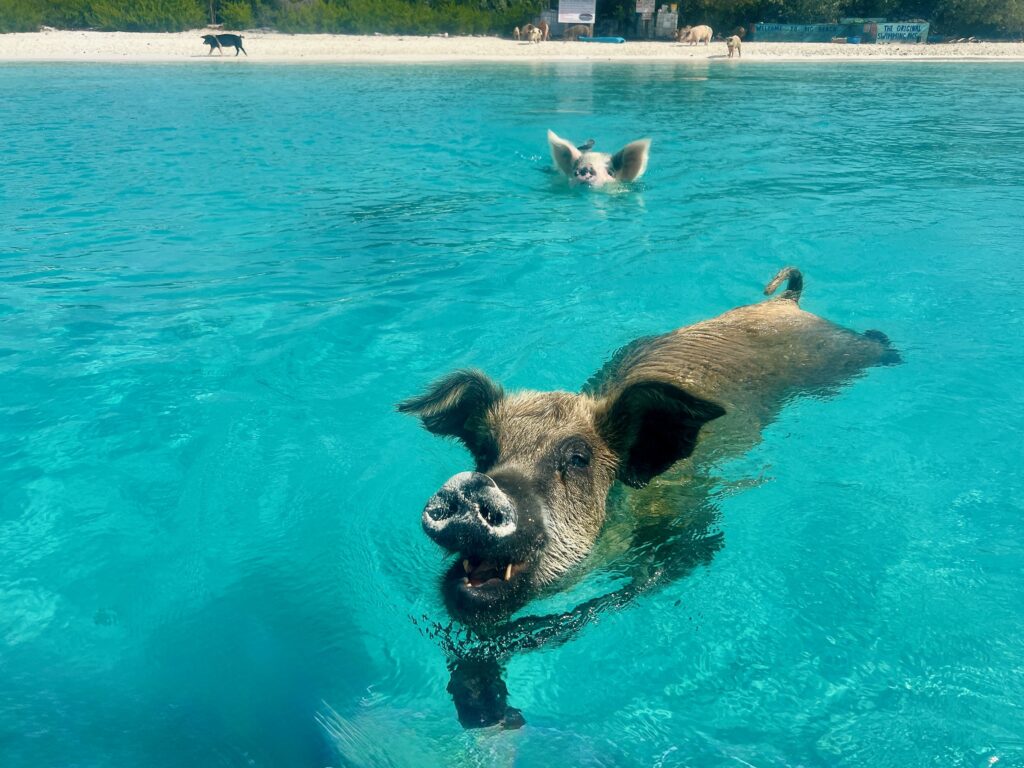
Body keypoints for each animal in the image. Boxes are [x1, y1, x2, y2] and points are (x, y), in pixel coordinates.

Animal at [399, 268, 899, 628]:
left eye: (577, 459)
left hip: (839, 355)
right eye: (485, 452)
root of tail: (784, 301)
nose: (471, 485)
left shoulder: (693, 525)